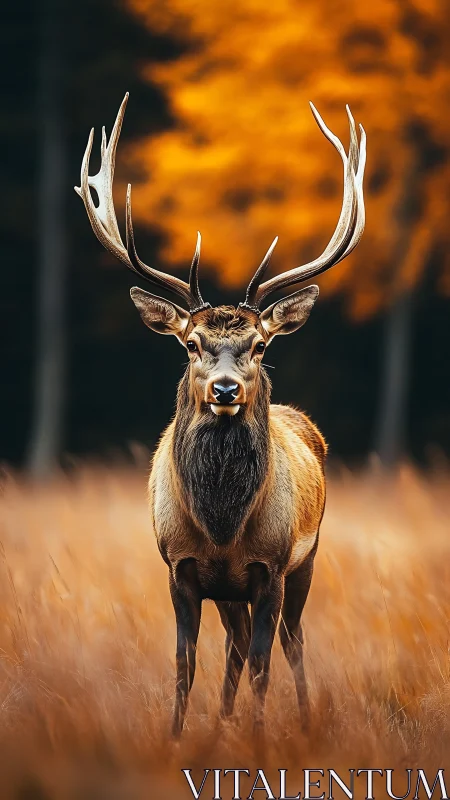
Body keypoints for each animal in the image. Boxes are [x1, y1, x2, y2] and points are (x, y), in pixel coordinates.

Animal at [75, 94, 366, 737]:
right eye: (191, 344)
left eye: (259, 345)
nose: (226, 389)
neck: (222, 528)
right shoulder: (179, 566)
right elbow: (185, 662)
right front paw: (178, 736)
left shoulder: (270, 566)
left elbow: (263, 662)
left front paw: (257, 741)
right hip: (230, 591)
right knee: (232, 647)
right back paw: (225, 721)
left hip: (307, 560)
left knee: (290, 642)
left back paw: (298, 720)